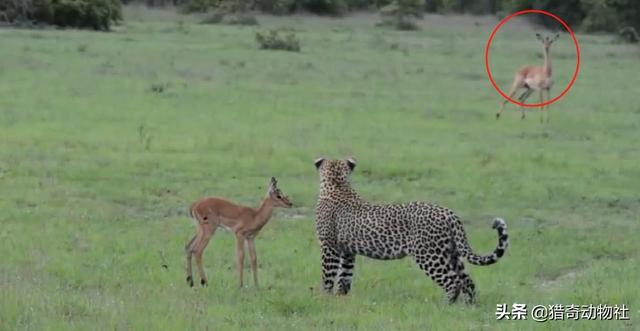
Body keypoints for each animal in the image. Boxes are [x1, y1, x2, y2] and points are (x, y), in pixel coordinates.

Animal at [312, 157, 508, 304]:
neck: (337, 184)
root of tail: (449, 213)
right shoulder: (347, 252)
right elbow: (344, 277)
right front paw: (340, 299)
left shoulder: (329, 247)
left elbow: (328, 275)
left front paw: (325, 299)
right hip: (451, 253)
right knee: (467, 281)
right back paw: (468, 306)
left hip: (429, 255)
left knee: (453, 282)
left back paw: (445, 305)